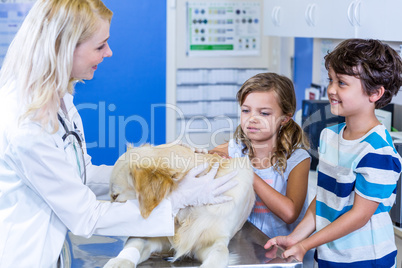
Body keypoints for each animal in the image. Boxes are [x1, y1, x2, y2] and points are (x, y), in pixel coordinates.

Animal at [103, 143, 254, 266]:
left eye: (115, 196)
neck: (183, 214)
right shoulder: (149, 235)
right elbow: (134, 244)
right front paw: (119, 262)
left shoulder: (214, 241)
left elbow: (220, 254)